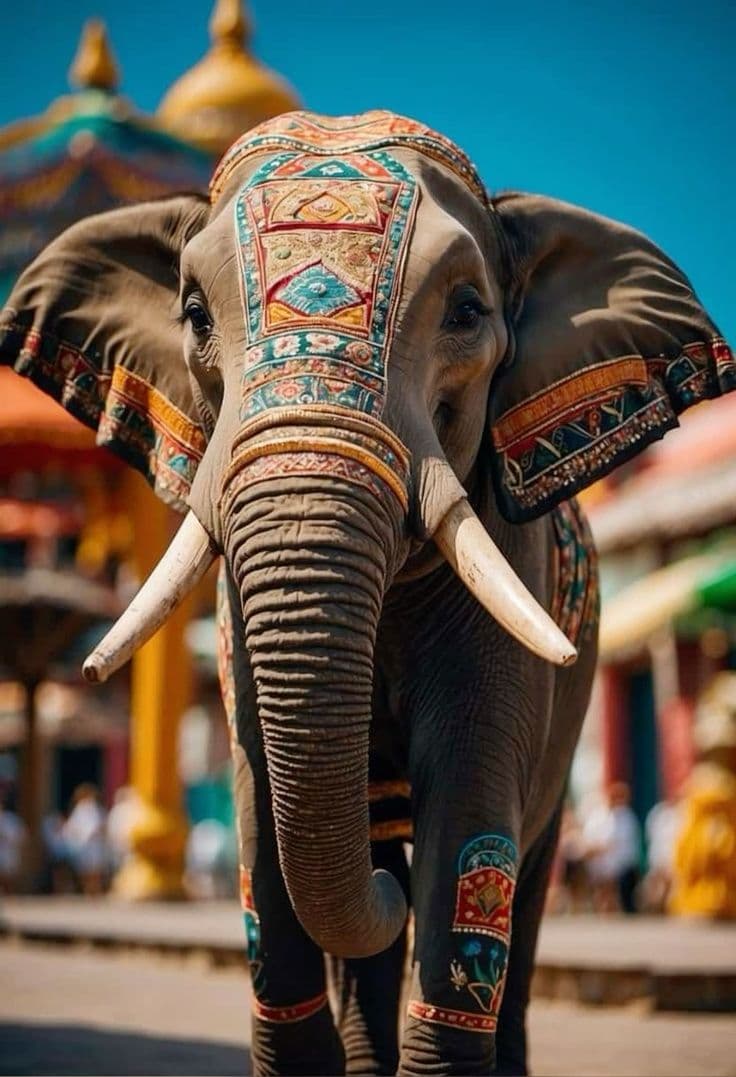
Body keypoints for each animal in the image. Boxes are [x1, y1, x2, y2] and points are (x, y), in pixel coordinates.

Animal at [2, 110, 733, 1076]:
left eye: (468, 313)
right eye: (193, 315)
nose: (387, 883)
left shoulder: (514, 557)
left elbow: (468, 791)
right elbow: (259, 800)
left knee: (532, 873)